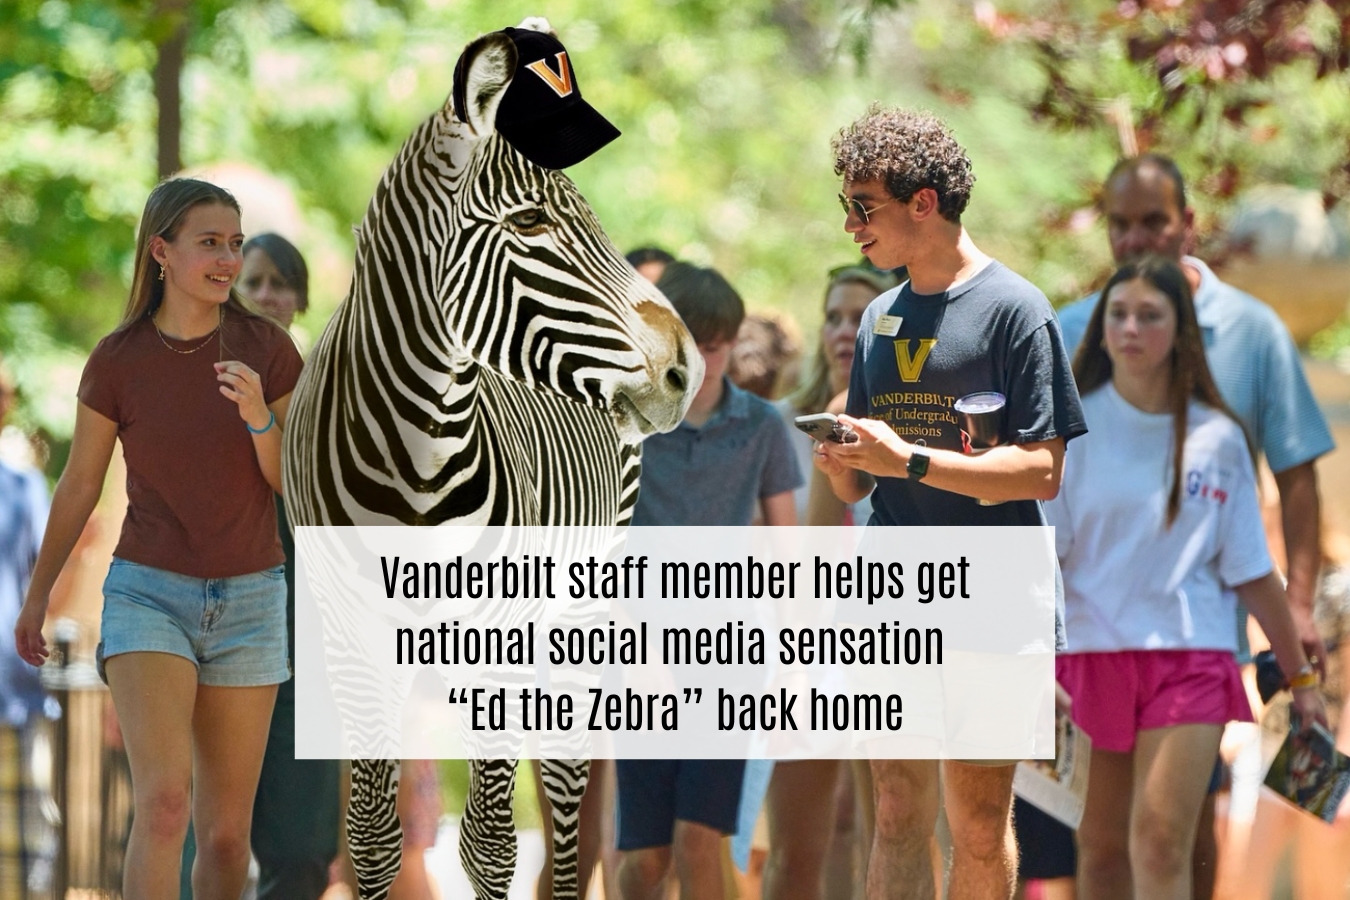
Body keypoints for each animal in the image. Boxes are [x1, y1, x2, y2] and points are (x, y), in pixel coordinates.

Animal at [283, 20, 700, 900]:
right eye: (533, 223)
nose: (689, 370)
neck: (415, 455)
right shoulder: (351, 639)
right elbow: (372, 838)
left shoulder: (501, 638)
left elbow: (491, 843)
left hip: (575, 617)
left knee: (568, 804)